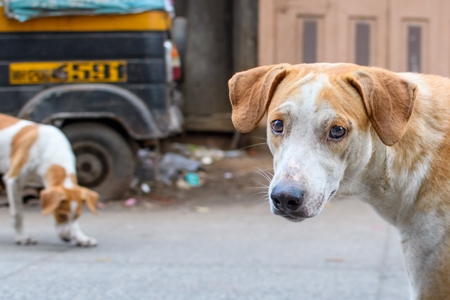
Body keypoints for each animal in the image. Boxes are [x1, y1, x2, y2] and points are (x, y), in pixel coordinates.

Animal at [0, 113, 98, 247]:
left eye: (77, 216)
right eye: (61, 215)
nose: (68, 239)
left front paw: (81, 238)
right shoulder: (14, 181)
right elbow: (18, 214)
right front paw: (22, 238)